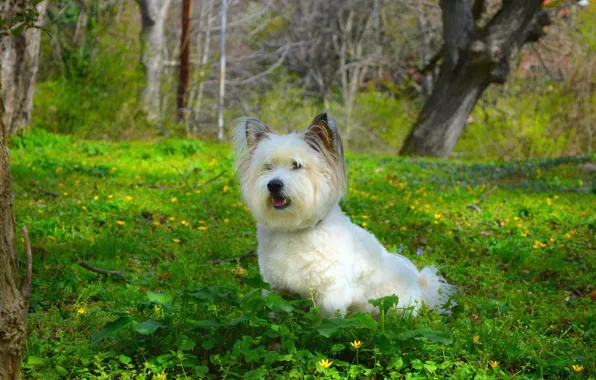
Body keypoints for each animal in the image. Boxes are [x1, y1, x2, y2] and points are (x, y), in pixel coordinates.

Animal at [233, 111, 456, 316]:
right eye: (267, 167)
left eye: (296, 165)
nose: (273, 185)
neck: (295, 229)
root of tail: (420, 287)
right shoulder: (274, 286)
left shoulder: (331, 292)